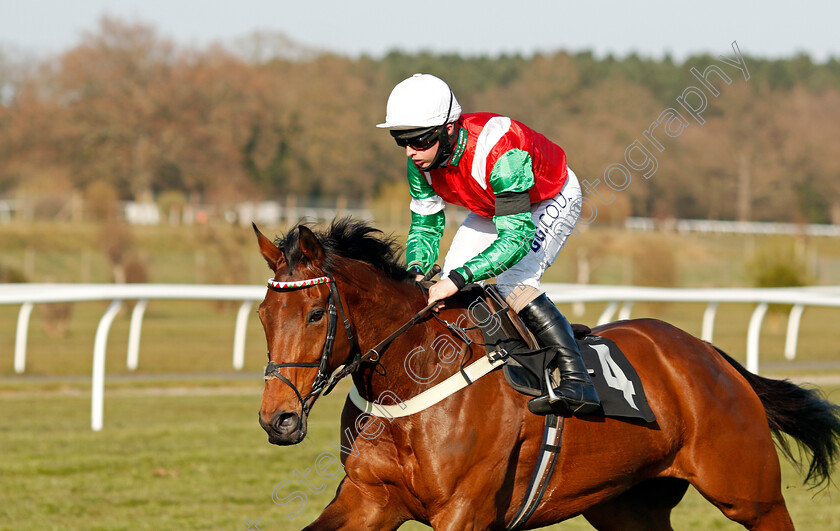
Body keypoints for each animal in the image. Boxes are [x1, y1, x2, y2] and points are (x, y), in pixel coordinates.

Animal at [254, 218, 840, 528]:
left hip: (750, 493)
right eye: (263, 314)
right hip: (628, 505)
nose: (276, 420)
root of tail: (711, 355)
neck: (411, 381)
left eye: (314, 314)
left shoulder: (463, 509)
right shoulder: (369, 498)